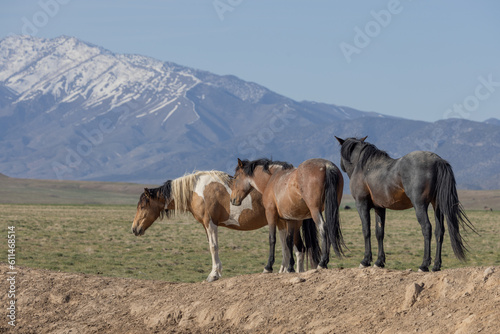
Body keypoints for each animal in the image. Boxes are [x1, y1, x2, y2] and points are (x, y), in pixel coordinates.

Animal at [132, 170, 320, 282]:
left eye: (143, 206)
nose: (134, 229)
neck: (196, 190)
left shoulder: (210, 223)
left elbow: (213, 247)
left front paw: (213, 274)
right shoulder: (206, 225)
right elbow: (211, 246)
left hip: (291, 224)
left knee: (299, 249)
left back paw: (296, 273)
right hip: (281, 222)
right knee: (286, 246)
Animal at [334, 136, 474, 272]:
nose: (342, 166)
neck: (365, 168)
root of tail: (437, 160)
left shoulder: (361, 204)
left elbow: (366, 230)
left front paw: (365, 260)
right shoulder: (380, 208)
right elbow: (379, 233)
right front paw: (379, 262)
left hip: (420, 206)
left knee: (427, 228)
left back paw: (424, 265)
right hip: (437, 206)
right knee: (439, 231)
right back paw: (436, 266)